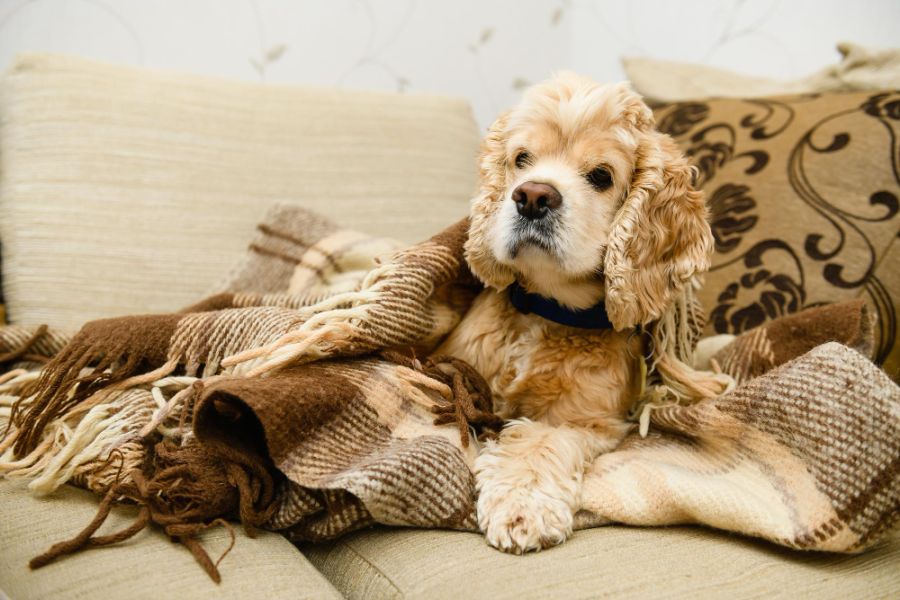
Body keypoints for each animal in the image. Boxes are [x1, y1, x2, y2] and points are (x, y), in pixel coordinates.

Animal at [432, 72, 728, 556]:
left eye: (601, 176)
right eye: (521, 159)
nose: (532, 196)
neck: (545, 313)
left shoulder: (590, 420)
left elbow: (540, 440)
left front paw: (522, 508)